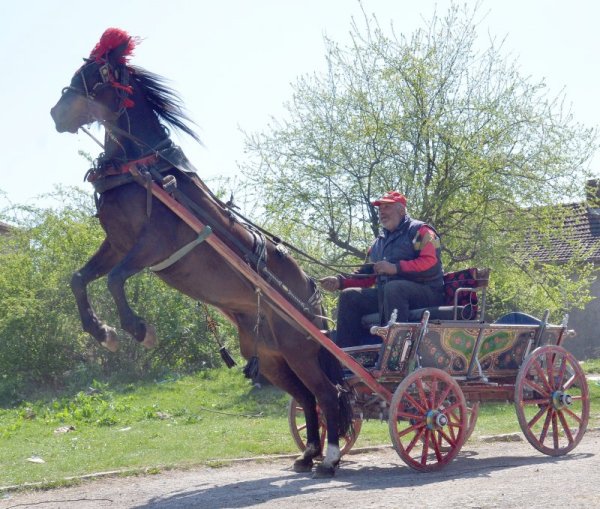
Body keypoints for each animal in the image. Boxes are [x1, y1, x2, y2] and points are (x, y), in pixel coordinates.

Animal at [51, 27, 352, 474]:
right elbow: (79, 279)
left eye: (94, 77)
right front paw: (102, 332)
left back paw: (329, 457)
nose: (55, 113)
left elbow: (116, 279)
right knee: (305, 397)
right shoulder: (117, 243)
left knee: (328, 394)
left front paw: (138, 329)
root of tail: (311, 293)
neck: (144, 169)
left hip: (300, 348)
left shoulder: (152, 244)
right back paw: (309, 453)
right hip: (272, 357)